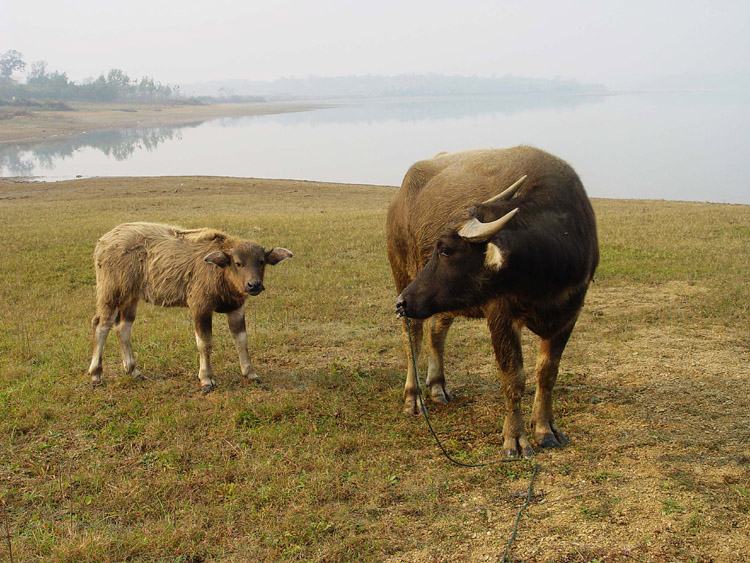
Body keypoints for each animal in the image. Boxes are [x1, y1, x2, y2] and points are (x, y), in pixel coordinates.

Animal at [388, 145, 600, 458]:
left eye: (446, 249)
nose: (402, 302)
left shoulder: (569, 313)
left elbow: (547, 373)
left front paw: (545, 429)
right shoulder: (501, 314)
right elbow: (513, 377)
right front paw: (516, 439)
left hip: (442, 300)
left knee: (437, 332)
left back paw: (438, 386)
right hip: (404, 271)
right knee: (412, 335)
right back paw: (413, 398)